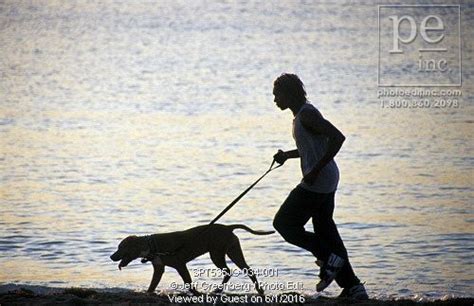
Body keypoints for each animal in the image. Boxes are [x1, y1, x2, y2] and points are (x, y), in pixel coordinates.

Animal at [110, 225, 274, 294]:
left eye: (121, 247)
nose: (111, 256)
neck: (151, 245)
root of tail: (228, 227)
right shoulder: (159, 268)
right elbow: (153, 284)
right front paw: (148, 293)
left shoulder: (180, 265)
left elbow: (188, 282)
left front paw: (195, 293)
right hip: (232, 251)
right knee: (241, 270)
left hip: (217, 254)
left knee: (232, 271)